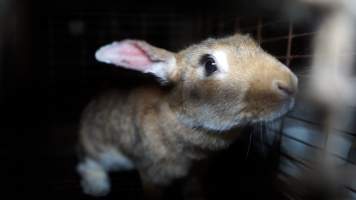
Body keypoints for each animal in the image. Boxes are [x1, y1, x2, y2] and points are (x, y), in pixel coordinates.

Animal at [76, 32, 298, 198]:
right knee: (88, 163)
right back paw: (97, 187)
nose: (290, 84)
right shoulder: (151, 173)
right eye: (209, 64)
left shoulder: (196, 173)